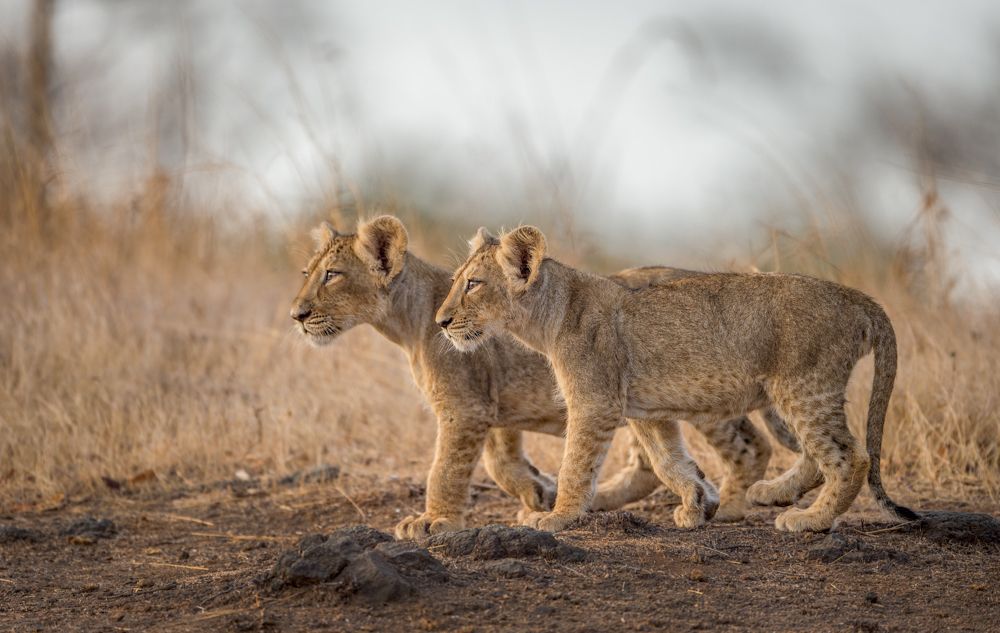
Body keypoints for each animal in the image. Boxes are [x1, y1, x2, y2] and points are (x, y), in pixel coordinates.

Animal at [290, 216, 797, 538]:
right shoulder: (491, 407)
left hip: (698, 392)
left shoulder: (464, 407)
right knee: (648, 462)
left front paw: (434, 521)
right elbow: (501, 460)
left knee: (752, 444)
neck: (409, 321)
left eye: (332, 275)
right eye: (305, 272)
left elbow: (446, 468)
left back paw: (731, 506)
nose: (296, 315)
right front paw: (538, 491)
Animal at [436, 225, 918, 533]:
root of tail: (855, 297)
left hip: (804, 386)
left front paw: (557, 517)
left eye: (474, 284)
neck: (548, 314)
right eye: (456, 280)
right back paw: (772, 493)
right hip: (794, 392)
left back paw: (810, 520)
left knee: (849, 457)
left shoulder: (595, 403)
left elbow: (576, 465)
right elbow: (669, 462)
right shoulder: (647, 411)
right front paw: (695, 504)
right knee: (817, 455)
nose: (441, 321)